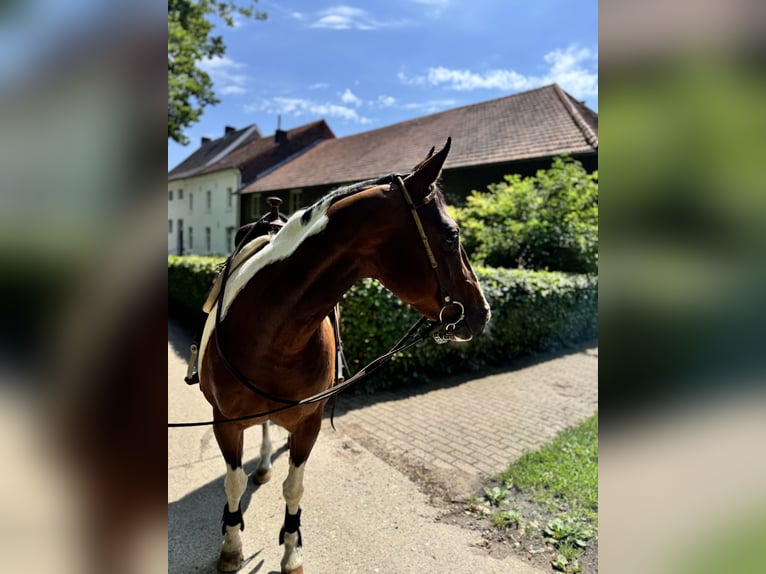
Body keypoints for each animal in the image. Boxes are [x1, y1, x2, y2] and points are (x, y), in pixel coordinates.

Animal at [197, 138, 491, 573]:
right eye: (452, 235)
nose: (482, 311)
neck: (272, 335)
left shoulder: (309, 423)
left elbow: (294, 487)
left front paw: (292, 550)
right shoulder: (225, 423)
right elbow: (232, 483)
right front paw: (231, 545)